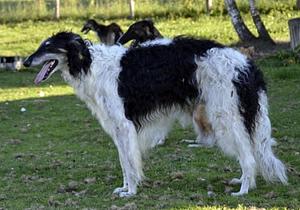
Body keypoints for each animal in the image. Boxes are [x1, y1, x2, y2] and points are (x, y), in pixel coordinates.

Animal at [22, 31, 286, 197]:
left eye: (48, 46)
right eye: (41, 45)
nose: (25, 62)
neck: (89, 65)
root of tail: (246, 64)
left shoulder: (123, 126)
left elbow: (129, 162)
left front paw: (130, 192)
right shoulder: (118, 129)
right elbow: (124, 162)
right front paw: (125, 188)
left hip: (224, 117)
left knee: (249, 156)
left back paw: (243, 189)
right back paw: (242, 181)